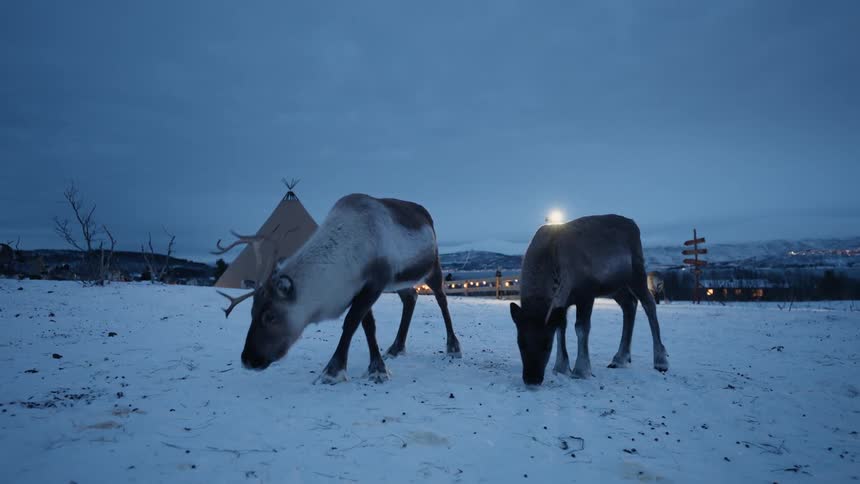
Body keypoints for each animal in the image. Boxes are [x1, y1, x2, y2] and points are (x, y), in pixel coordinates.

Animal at [213, 193, 462, 384]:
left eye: (270, 315)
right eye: (252, 311)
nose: (248, 359)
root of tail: (425, 213)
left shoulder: (375, 282)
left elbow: (351, 323)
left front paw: (333, 371)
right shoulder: (357, 288)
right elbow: (368, 326)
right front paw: (376, 366)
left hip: (432, 267)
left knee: (441, 299)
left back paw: (453, 346)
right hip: (401, 281)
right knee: (410, 298)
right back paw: (396, 348)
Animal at [509, 214, 669, 386]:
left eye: (547, 344)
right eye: (520, 342)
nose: (532, 379)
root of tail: (633, 224)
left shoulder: (586, 294)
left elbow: (581, 328)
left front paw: (581, 370)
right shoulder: (563, 302)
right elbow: (560, 328)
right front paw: (561, 367)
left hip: (636, 274)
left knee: (649, 303)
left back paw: (660, 360)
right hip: (615, 288)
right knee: (629, 304)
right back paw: (620, 358)